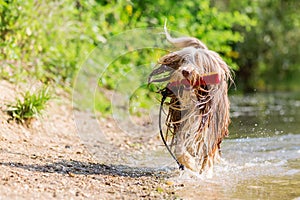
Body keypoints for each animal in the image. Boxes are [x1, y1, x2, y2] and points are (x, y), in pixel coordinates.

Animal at [148, 27, 232, 175]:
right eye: (184, 60)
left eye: (199, 62)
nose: (185, 72)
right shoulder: (181, 121)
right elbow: (180, 149)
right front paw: (190, 164)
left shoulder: (209, 126)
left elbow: (207, 152)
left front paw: (205, 172)